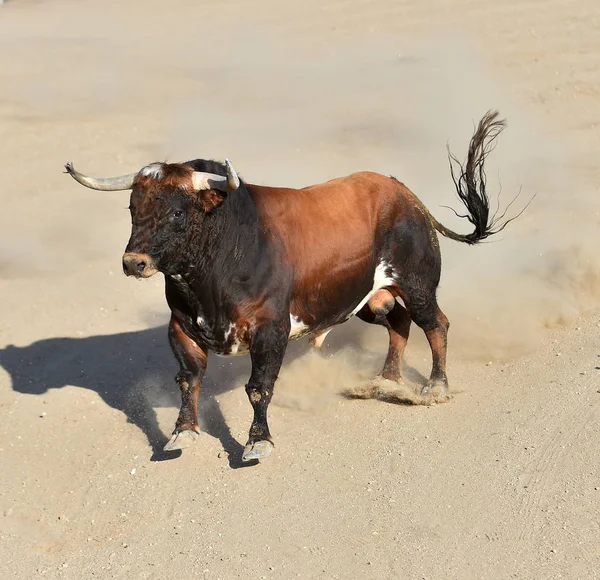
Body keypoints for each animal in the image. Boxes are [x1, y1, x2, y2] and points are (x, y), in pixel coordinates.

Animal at [64, 109, 520, 462]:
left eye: (178, 212)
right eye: (132, 207)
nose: (134, 262)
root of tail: (407, 196)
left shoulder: (271, 329)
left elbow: (258, 388)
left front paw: (257, 442)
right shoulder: (181, 327)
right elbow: (188, 380)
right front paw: (182, 433)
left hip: (418, 283)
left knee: (435, 324)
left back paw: (435, 386)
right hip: (369, 300)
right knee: (399, 325)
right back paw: (384, 382)